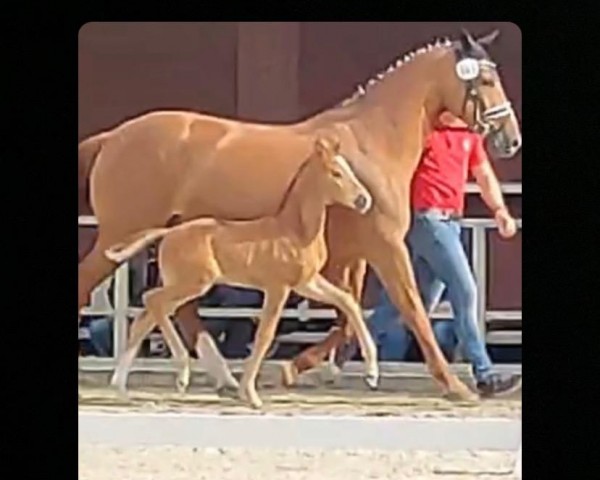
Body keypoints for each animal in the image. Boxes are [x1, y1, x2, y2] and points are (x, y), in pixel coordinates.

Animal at [105, 136, 378, 408]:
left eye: (349, 170)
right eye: (336, 173)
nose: (364, 200)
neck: (295, 231)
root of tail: (169, 232)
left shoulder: (306, 283)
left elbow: (348, 301)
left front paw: (372, 374)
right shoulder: (278, 288)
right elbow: (265, 335)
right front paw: (250, 394)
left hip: (182, 285)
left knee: (146, 316)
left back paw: (122, 388)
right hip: (194, 284)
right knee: (151, 300)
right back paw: (181, 373)